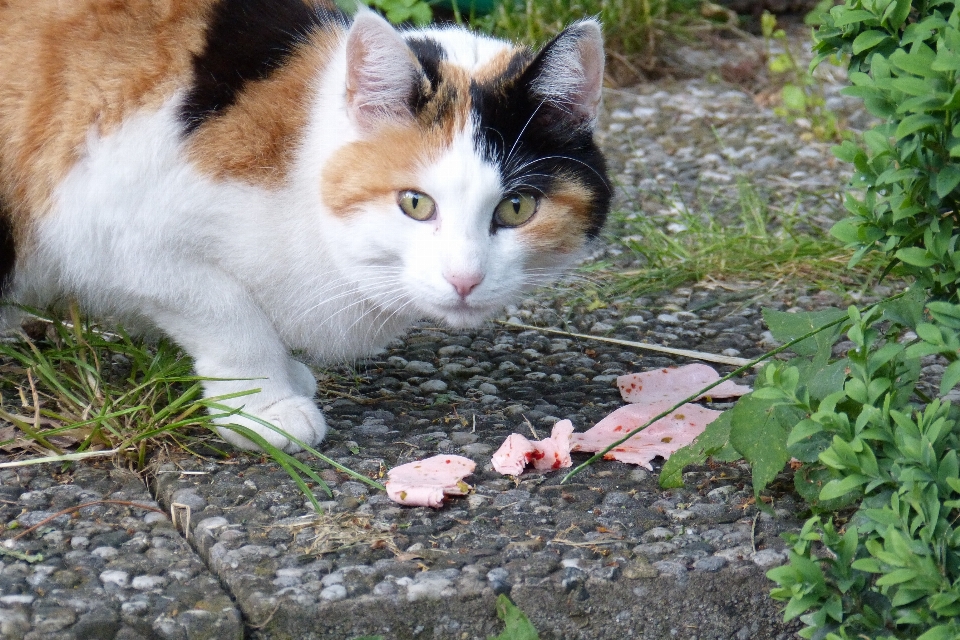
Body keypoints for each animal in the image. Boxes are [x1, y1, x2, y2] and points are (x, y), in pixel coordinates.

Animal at [0, 0, 612, 450]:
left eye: (517, 209)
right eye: (415, 203)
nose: (465, 279)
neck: (299, 164)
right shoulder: (111, 227)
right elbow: (229, 313)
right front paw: (264, 406)